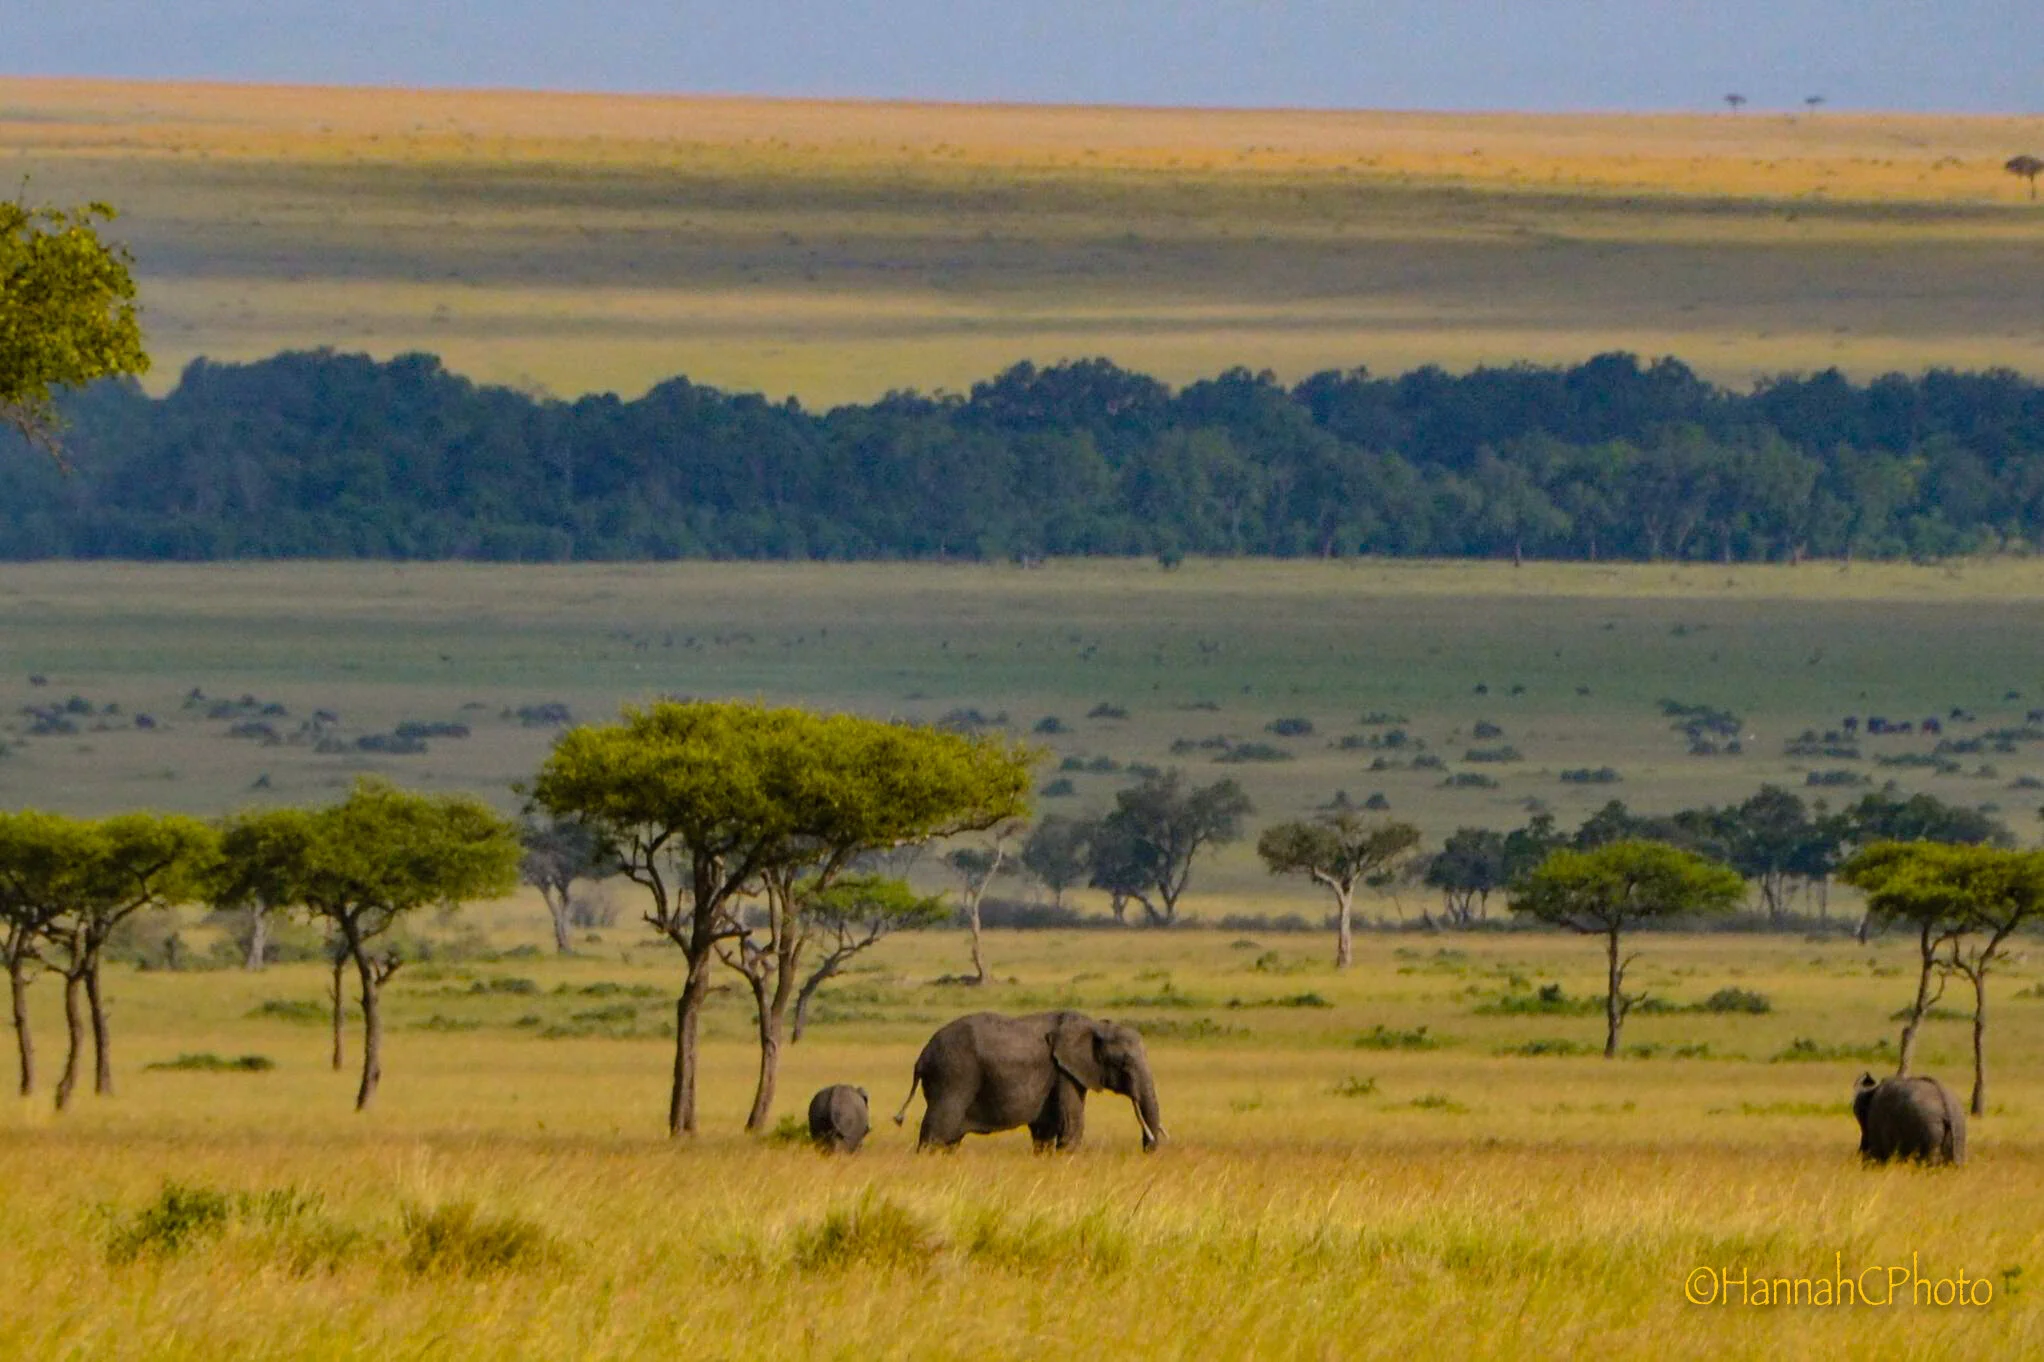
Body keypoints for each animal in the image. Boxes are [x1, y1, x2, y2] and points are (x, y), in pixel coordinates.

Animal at [892, 1011, 1163, 1152]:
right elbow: (1071, 1127)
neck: (1094, 1025)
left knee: (949, 1140)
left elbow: (1045, 1132)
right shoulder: (1064, 1072)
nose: (1148, 1146)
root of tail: (922, 1056)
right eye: (1124, 1063)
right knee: (936, 1132)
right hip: (953, 1077)